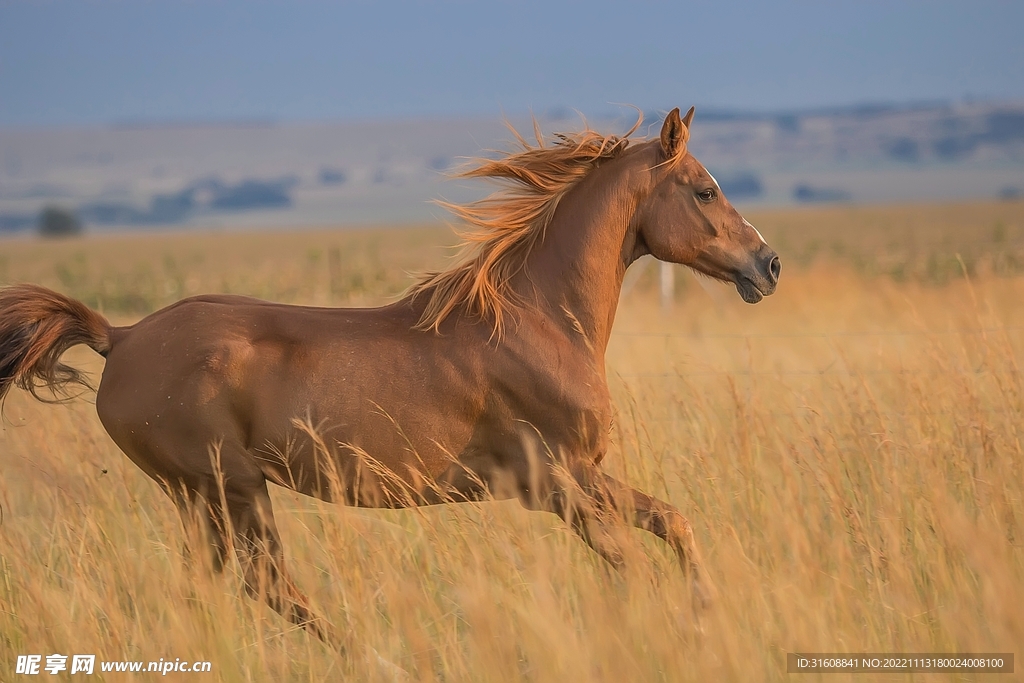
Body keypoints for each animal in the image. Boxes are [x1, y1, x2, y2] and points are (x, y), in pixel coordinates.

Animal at [0, 107, 778, 647]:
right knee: (268, 583)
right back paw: (365, 653)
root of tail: (121, 337)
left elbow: (672, 523)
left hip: (203, 497)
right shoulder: (557, 482)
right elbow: (636, 561)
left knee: (218, 586)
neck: (537, 319)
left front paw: (705, 613)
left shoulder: (579, 477)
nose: (767, 265)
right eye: (705, 191)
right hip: (227, 487)